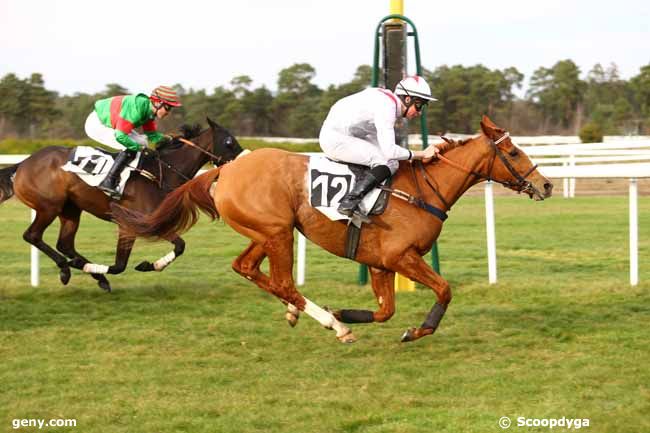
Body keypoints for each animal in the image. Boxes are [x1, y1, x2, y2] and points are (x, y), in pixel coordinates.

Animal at [0, 117, 242, 290]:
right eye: (229, 141)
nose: (244, 160)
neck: (161, 174)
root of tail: (23, 164)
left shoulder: (151, 222)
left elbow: (180, 246)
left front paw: (149, 265)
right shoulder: (132, 223)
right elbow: (119, 265)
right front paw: (81, 267)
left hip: (71, 209)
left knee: (65, 244)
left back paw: (92, 275)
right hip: (48, 207)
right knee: (32, 235)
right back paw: (66, 269)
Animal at [114, 116, 548, 342]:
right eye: (513, 153)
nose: (545, 185)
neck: (424, 190)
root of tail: (225, 169)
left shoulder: (381, 262)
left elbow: (386, 311)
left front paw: (348, 311)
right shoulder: (399, 257)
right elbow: (443, 290)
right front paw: (417, 330)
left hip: (267, 232)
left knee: (249, 268)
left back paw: (303, 312)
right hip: (277, 232)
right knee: (282, 280)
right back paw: (331, 323)